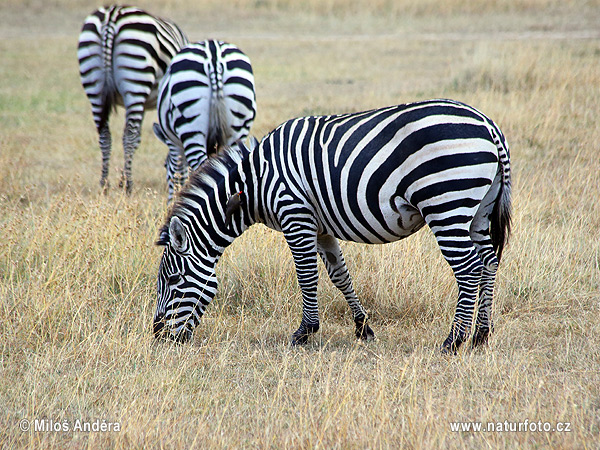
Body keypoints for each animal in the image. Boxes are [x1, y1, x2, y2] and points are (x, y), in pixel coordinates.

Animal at [77, 4, 188, 193]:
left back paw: (104, 184)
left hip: (94, 85)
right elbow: (136, 138)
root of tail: (112, 14)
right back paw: (128, 185)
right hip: (137, 81)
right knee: (129, 135)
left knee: (105, 134)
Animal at [151, 39, 256, 201]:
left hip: (189, 122)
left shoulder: (174, 144)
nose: (169, 202)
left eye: (164, 165)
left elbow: (178, 171)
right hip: (239, 124)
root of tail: (214, 55)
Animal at [151, 99, 510, 356]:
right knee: (488, 262)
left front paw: (304, 332)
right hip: (477, 210)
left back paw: (454, 340)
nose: (157, 337)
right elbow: (340, 276)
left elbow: (307, 276)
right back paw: (481, 335)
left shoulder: (295, 216)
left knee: (468, 268)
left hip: (446, 203)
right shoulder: (321, 227)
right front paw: (363, 327)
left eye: (172, 280)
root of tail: (488, 124)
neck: (253, 184)